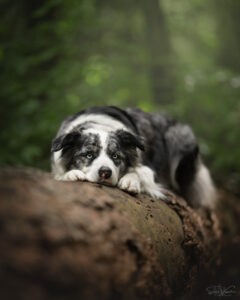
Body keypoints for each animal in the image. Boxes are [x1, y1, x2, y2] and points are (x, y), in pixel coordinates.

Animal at [50, 106, 216, 207]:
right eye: (89, 154)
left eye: (116, 156)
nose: (105, 172)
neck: (99, 126)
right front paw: (71, 174)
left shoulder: (149, 167)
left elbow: (139, 172)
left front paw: (130, 180)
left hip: (179, 136)